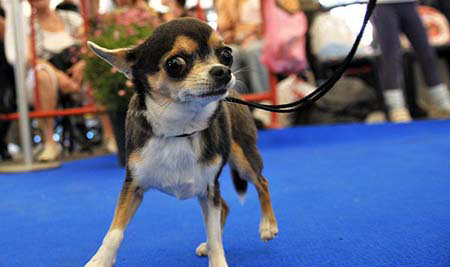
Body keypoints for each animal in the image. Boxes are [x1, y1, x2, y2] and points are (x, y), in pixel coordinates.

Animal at [82, 17, 276, 266]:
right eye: (175, 64)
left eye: (226, 54)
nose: (223, 71)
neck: (180, 130)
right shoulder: (133, 186)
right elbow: (114, 232)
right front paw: (100, 260)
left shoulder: (209, 189)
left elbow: (215, 237)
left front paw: (218, 259)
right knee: (225, 206)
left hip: (243, 159)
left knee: (262, 182)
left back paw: (268, 225)